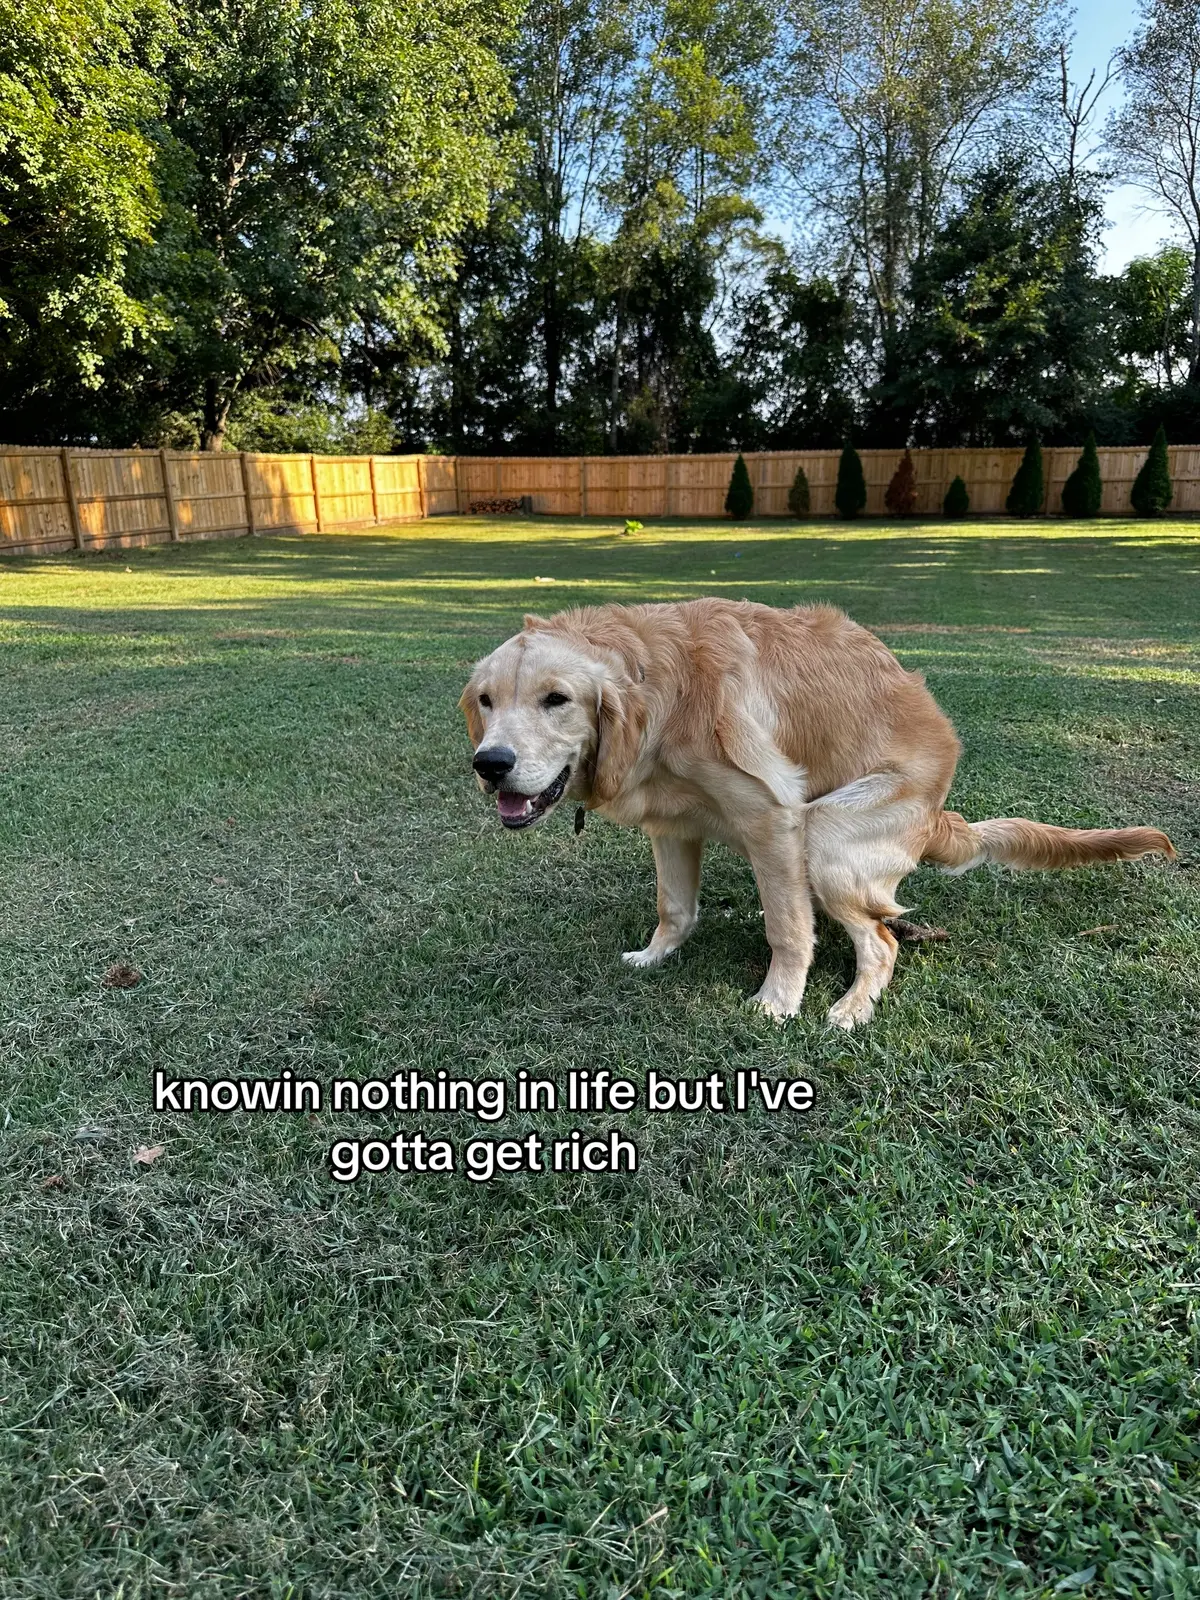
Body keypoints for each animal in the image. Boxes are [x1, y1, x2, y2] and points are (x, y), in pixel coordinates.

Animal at [457, 598, 1177, 1024]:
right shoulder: (674, 826)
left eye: (557, 699)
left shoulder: (773, 818)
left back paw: (852, 1007)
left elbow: (788, 931)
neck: (659, 691)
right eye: (487, 701)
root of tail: (940, 815)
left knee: (882, 941)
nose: (489, 764)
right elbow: (675, 907)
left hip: (826, 837)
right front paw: (655, 956)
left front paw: (778, 1000)